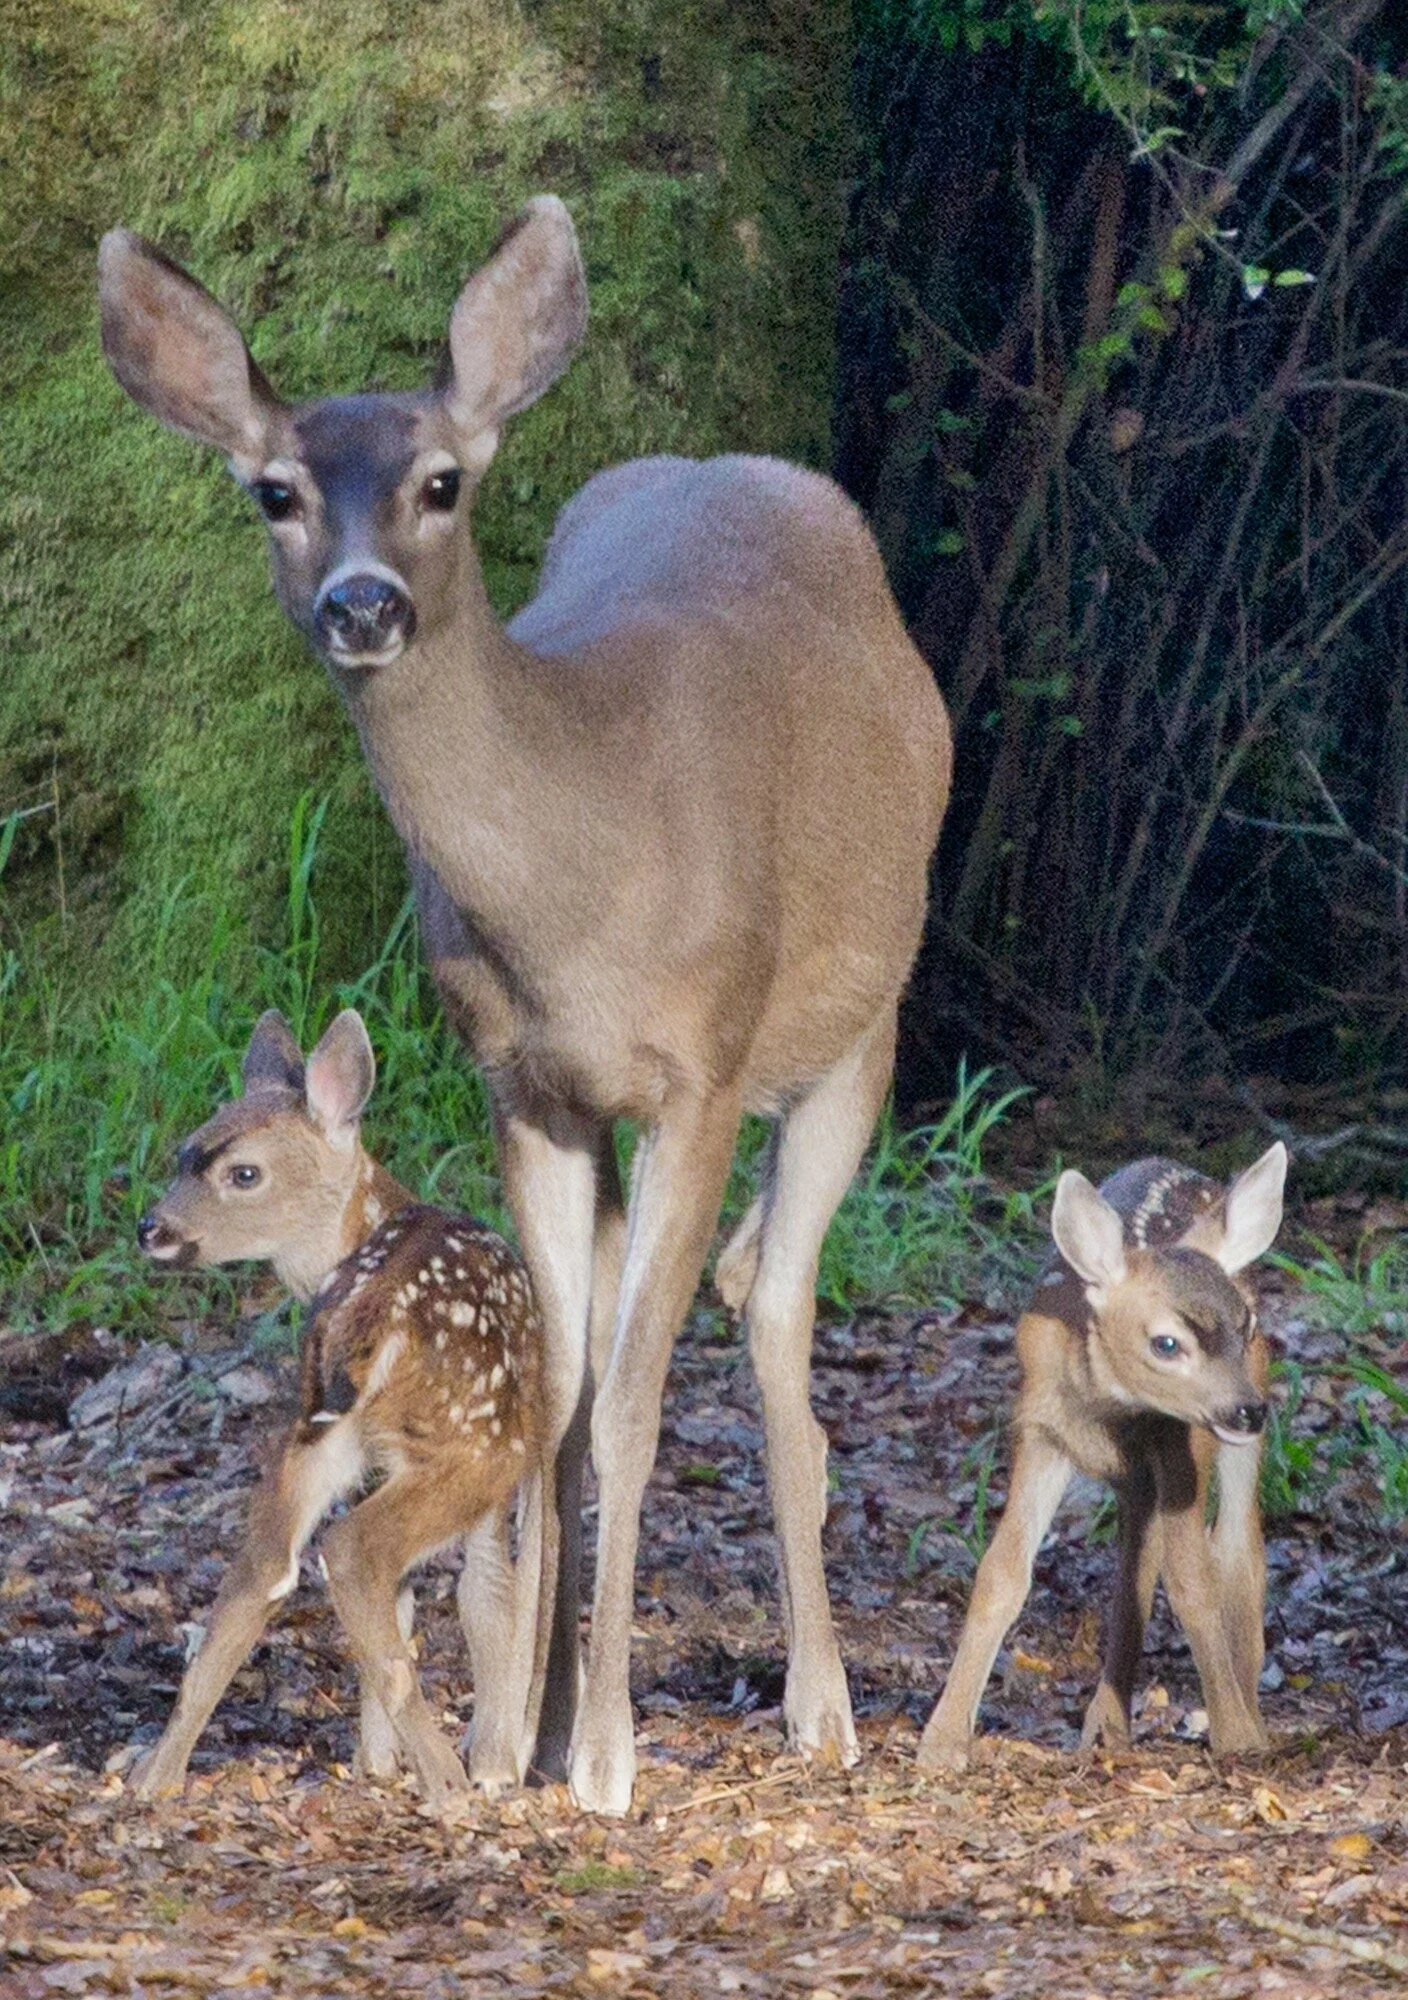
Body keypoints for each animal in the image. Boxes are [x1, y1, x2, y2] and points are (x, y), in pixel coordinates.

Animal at [130, 1007, 548, 1806]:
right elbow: (486, 1600)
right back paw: (449, 1785)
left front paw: (375, 1760)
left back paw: (152, 1777)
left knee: (266, 1566)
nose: (152, 1229)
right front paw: (492, 1768)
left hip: (315, 1431)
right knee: (354, 1553)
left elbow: (416, 1603)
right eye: (182, 1156)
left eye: (240, 1171)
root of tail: (364, 1311)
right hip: (476, 1443)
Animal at [916, 1141, 1287, 1774]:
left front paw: (1237, 1736)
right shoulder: (1039, 1429)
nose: (1247, 1411)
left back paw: (1245, 1714)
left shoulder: (1177, 1441)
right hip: (1137, 1476)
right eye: (1166, 1343)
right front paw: (941, 1742)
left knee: (1238, 1550)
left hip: (1229, 1436)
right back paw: (1107, 1727)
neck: (1108, 1408)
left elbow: (1194, 1583)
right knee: (1136, 1569)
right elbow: (1000, 1573)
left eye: (1249, 1322)